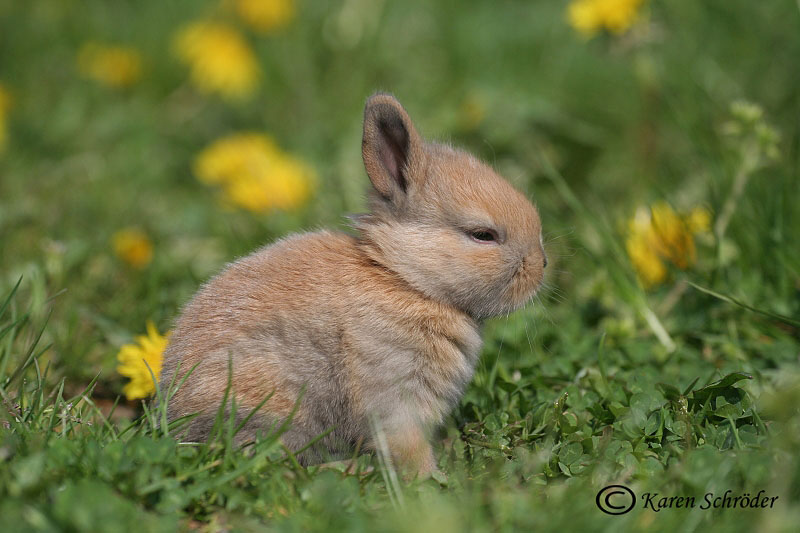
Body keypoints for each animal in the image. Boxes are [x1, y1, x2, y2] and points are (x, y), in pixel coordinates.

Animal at [158, 93, 544, 476]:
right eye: (482, 235)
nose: (542, 265)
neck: (404, 280)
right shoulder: (395, 394)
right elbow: (407, 445)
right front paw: (429, 479)